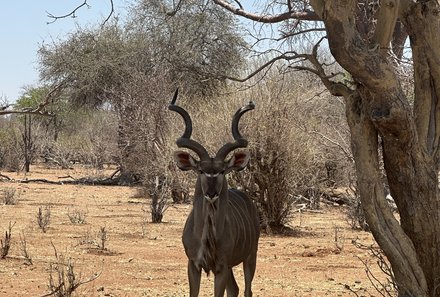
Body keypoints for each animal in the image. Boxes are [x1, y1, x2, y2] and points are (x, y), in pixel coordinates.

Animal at [169, 90, 260, 296]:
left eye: (222, 171)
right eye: (201, 170)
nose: (211, 194)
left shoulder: (221, 267)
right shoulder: (193, 265)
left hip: (251, 256)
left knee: (247, 290)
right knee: (234, 288)